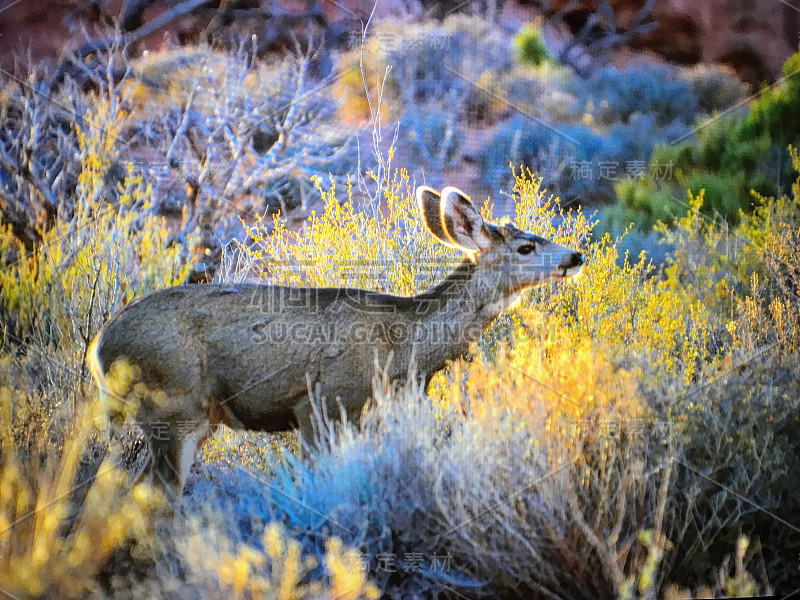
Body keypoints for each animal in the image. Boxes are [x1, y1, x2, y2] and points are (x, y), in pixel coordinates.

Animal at [89, 185, 580, 500]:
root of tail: (100, 348)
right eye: (525, 247)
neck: (406, 348)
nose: (576, 256)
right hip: (173, 410)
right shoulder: (321, 404)